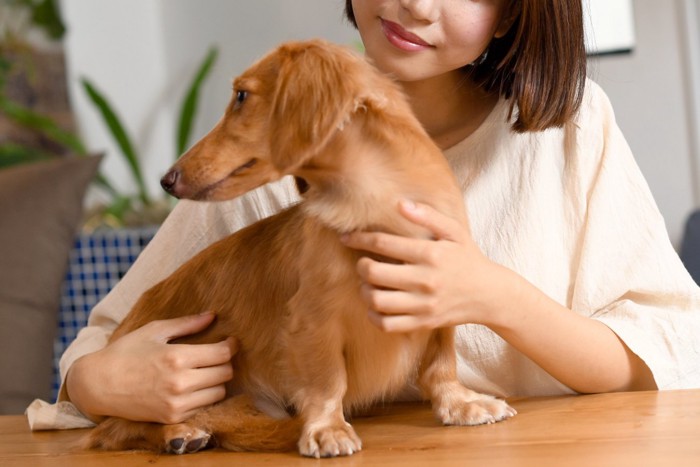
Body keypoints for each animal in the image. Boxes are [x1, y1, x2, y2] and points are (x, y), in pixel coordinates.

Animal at [86, 38, 516, 458]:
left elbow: (439, 363)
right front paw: (327, 429)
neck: (377, 207)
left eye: (241, 96)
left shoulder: (441, 294)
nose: (166, 180)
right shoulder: (312, 321)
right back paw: (177, 432)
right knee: (116, 428)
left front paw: (461, 403)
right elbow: (327, 380)